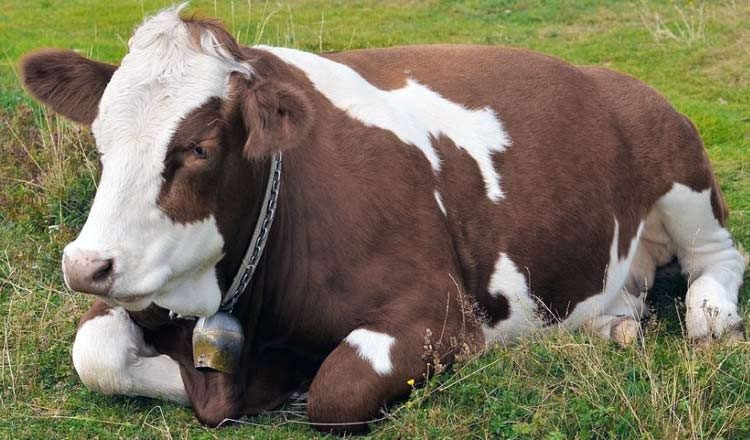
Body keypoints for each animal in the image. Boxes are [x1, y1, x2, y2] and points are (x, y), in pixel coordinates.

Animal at [20, 5, 746, 434]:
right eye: (99, 140)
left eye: (198, 148)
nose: (87, 266)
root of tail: (609, 76)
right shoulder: (147, 297)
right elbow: (95, 352)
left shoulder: (439, 315)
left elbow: (335, 390)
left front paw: (288, 386)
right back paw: (614, 325)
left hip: (679, 164)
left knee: (719, 256)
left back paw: (711, 316)